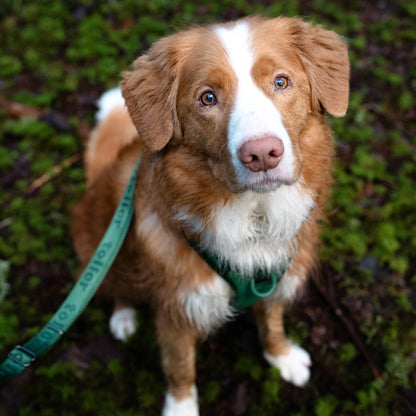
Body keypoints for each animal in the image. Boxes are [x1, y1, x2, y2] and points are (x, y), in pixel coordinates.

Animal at [70, 14, 348, 414]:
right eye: (208, 98)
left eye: (281, 82)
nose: (262, 154)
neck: (253, 219)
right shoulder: (178, 306)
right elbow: (180, 367)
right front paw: (181, 407)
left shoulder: (275, 274)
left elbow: (271, 321)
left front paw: (281, 355)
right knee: (115, 283)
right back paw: (123, 316)